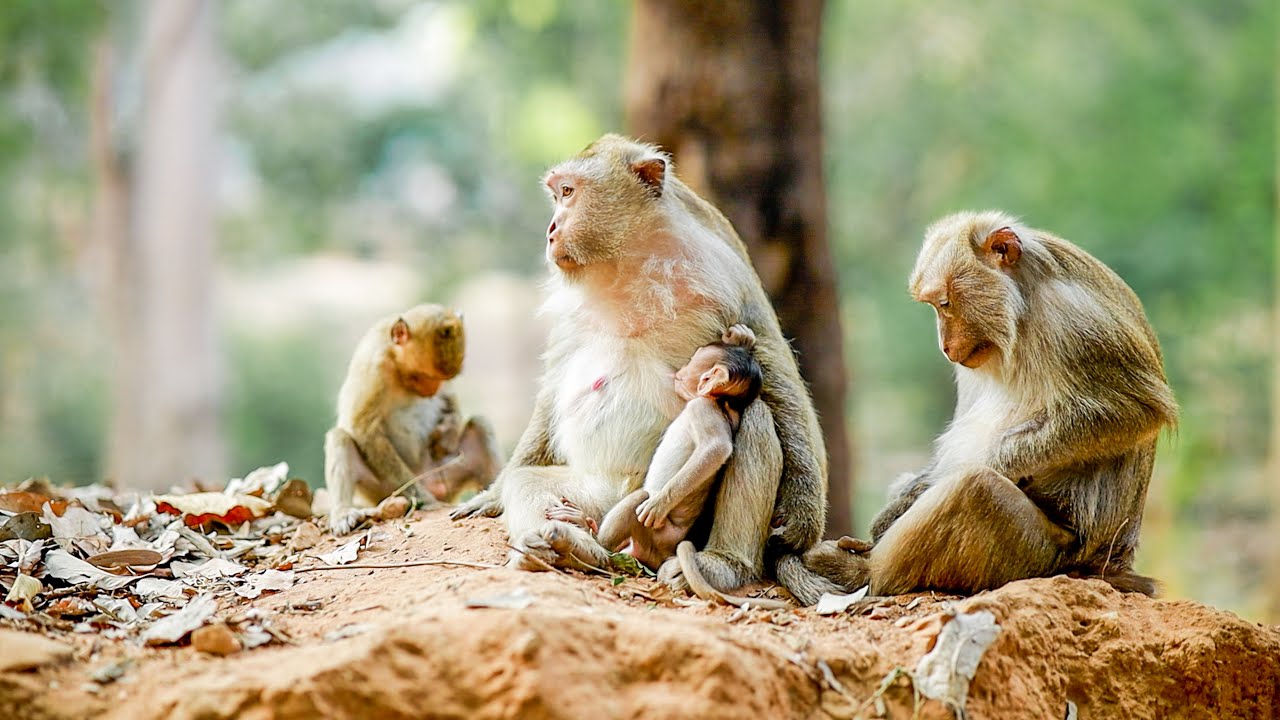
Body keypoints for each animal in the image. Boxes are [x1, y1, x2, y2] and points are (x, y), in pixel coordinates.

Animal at [325, 304, 502, 535]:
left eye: (441, 379)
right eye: (422, 376)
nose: (431, 390)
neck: (396, 362)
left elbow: (450, 398)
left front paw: (447, 434)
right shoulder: (374, 364)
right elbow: (364, 429)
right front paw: (425, 499)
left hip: (448, 472)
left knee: (480, 425)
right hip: (381, 490)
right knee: (340, 438)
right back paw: (343, 512)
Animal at [593, 324, 772, 571]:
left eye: (693, 361)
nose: (680, 370)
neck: (720, 402)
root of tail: (663, 553)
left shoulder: (701, 407)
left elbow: (717, 448)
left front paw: (659, 504)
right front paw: (741, 339)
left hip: (657, 533)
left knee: (638, 499)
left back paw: (595, 537)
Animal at [807, 211, 1178, 597]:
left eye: (945, 304)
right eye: (935, 306)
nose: (944, 346)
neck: (1023, 307)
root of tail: (1110, 565)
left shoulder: (1075, 321)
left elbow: (1134, 412)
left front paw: (994, 463)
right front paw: (905, 499)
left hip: (1044, 556)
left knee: (976, 490)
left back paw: (861, 572)